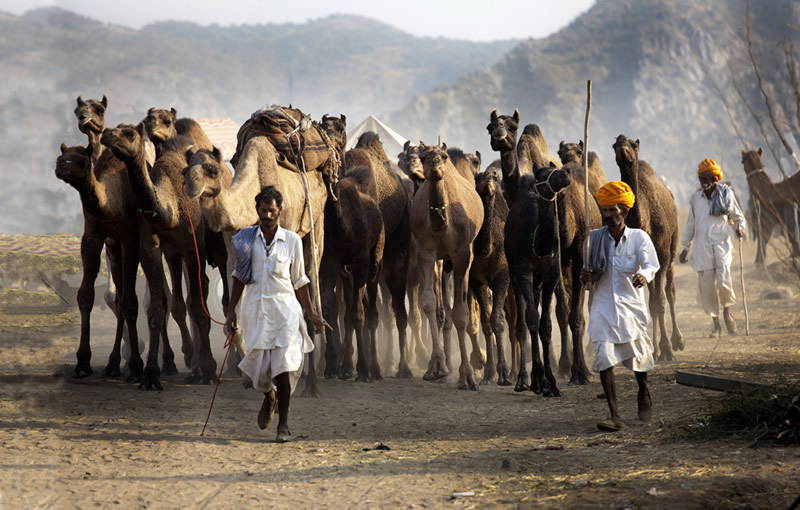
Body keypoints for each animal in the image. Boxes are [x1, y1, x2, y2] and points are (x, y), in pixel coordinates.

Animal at [103, 125, 216, 388]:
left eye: (129, 134)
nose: (107, 134)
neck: (169, 209)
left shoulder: (193, 248)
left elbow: (198, 306)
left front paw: (207, 369)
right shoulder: (151, 247)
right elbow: (156, 308)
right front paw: (151, 374)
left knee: (200, 293)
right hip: (172, 255)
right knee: (178, 300)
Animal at [410, 141, 484, 388]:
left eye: (442, 157)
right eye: (424, 156)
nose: (435, 168)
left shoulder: (462, 254)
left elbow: (461, 313)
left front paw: (467, 375)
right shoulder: (426, 251)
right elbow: (429, 303)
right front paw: (436, 366)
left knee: (466, 307)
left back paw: (478, 361)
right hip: (442, 261)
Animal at [612, 133, 680, 360]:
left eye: (633, 144)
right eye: (615, 145)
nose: (623, 149)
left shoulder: (663, 254)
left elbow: (661, 301)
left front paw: (667, 349)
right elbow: (651, 304)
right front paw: (658, 349)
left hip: (673, 248)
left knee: (670, 291)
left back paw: (678, 341)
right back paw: (657, 347)